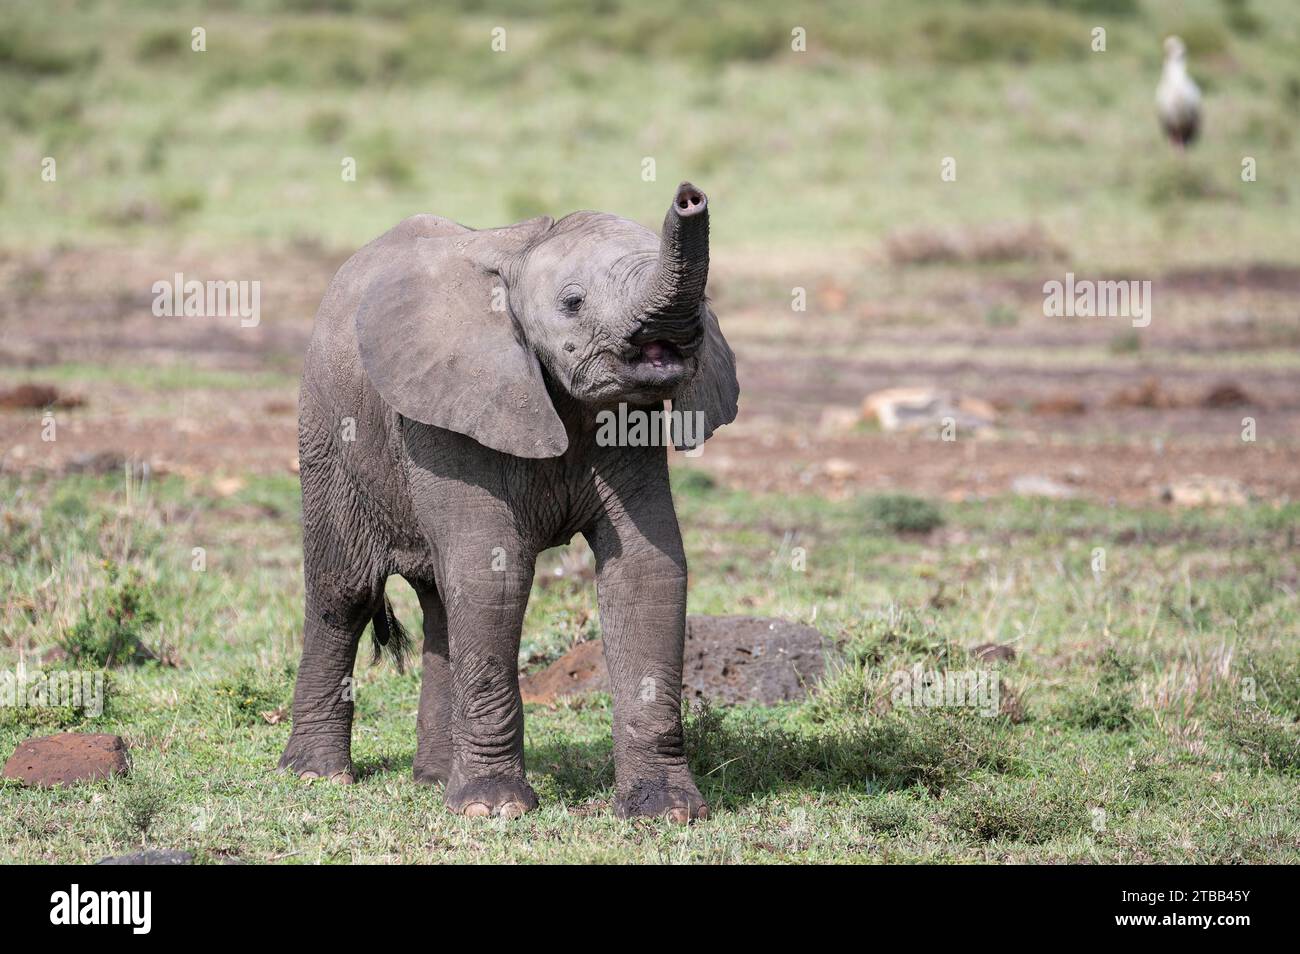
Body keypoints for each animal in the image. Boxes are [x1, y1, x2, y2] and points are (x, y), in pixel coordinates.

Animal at [278, 182, 738, 823]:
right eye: (573, 302)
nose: (689, 195)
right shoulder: (449, 407)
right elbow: (492, 571)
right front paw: (493, 810)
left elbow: (648, 569)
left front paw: (665, 812)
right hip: (326, 430)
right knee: (343, 592)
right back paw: (317, 777)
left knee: (440, 604)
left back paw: (433, 781)